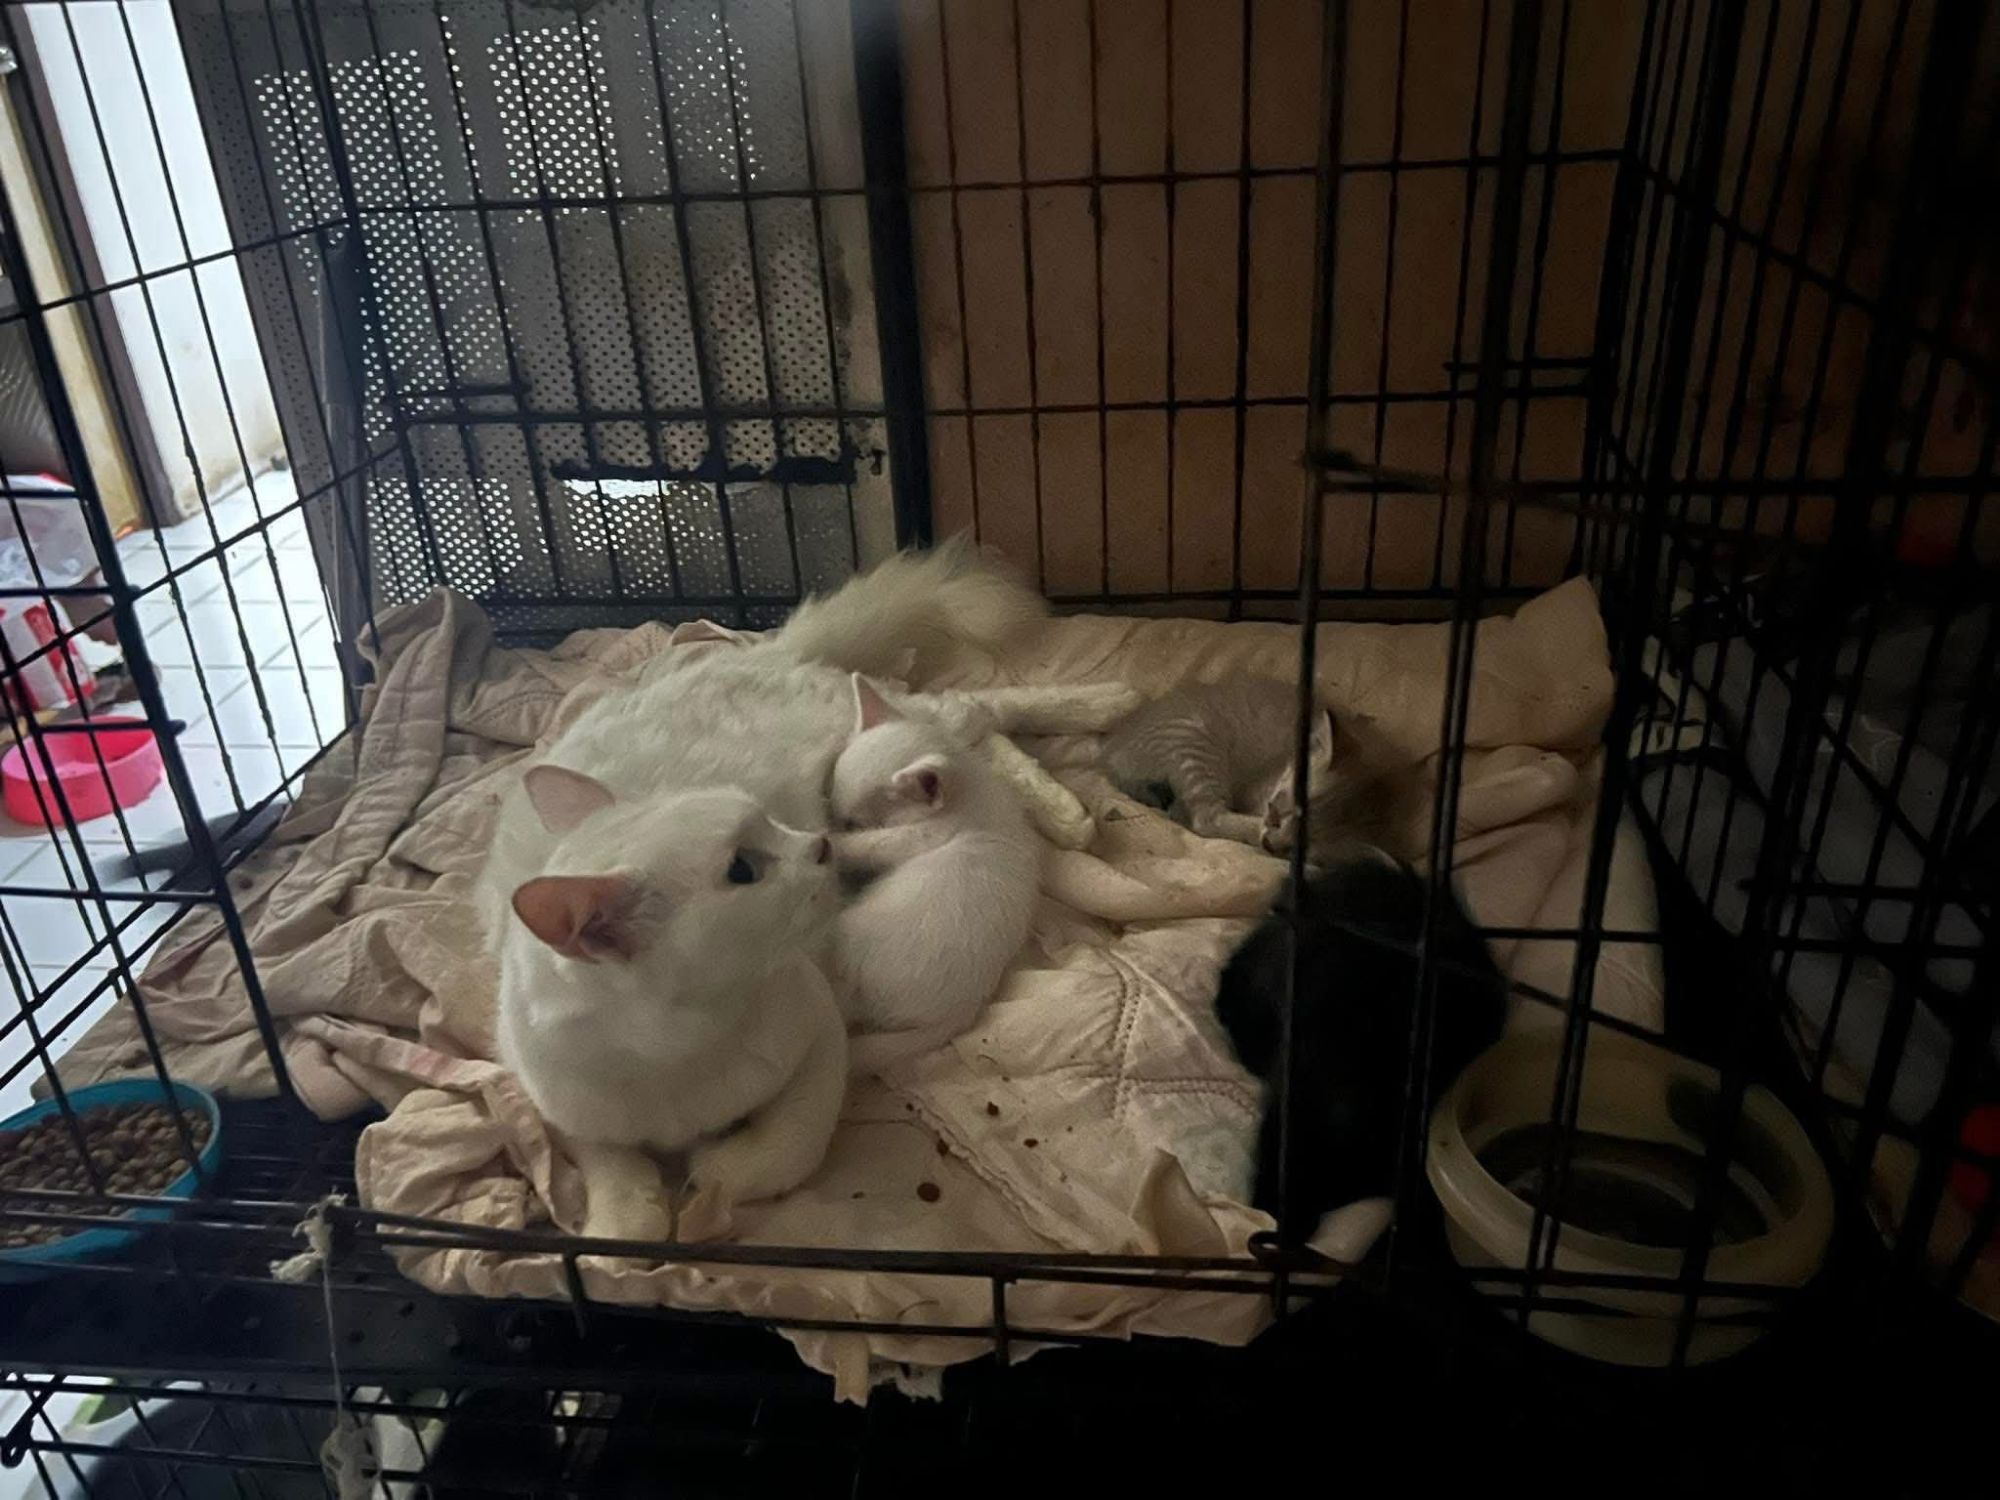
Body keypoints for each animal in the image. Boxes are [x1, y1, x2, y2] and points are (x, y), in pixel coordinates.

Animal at [494, 768, 848, 1236]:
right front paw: (619, 1224)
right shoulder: (555, 1107)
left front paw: (716, 1178)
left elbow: (793, 1143)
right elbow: (611, 1167)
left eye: (774, 824)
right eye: (742, 868)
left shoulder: (822, 1032)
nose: (822, 845)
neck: (671, 1050)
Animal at [829, 677, 1041, 1073]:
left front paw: (830, 842)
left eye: (852, 822)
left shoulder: (918, 837)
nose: (833, 822)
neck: (970, 787)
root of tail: (956, 1013)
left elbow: (868, 845)